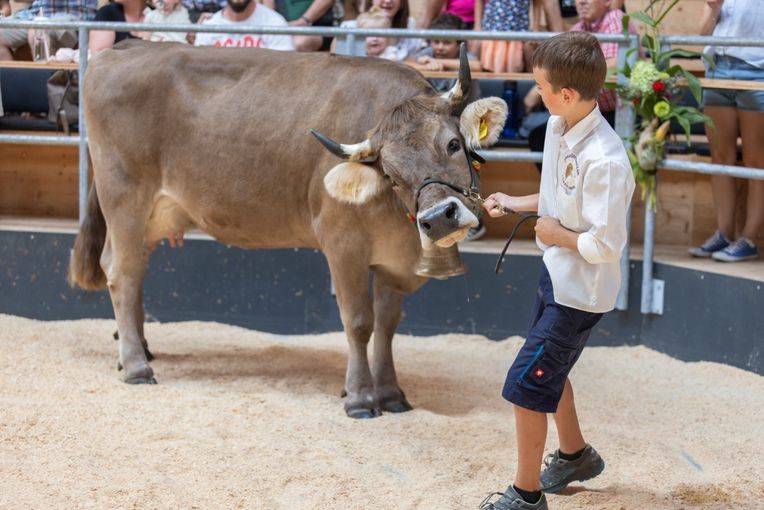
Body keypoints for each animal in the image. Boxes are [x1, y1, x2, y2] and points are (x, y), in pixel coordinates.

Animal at [68, 41, 504, 418]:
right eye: (391, 175)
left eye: (452, 144)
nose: (440, 217)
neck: (397, 225)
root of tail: (126, 46)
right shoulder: (342, 244)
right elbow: (359, 322)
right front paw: (360, 397)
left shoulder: (392, 259)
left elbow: (387, 324)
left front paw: (391, 392)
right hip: (124, 198)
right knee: (121, 274)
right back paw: (136, 366)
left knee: (136, 274)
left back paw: (138, 350)